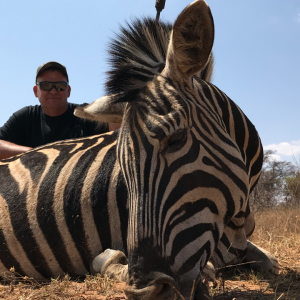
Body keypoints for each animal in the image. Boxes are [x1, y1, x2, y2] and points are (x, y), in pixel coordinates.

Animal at [0, 0, 278, 298]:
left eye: (176, 139)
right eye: (121, 166)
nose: (149, 290)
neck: (236, 219)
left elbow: (270, 261)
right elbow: (108, 262)